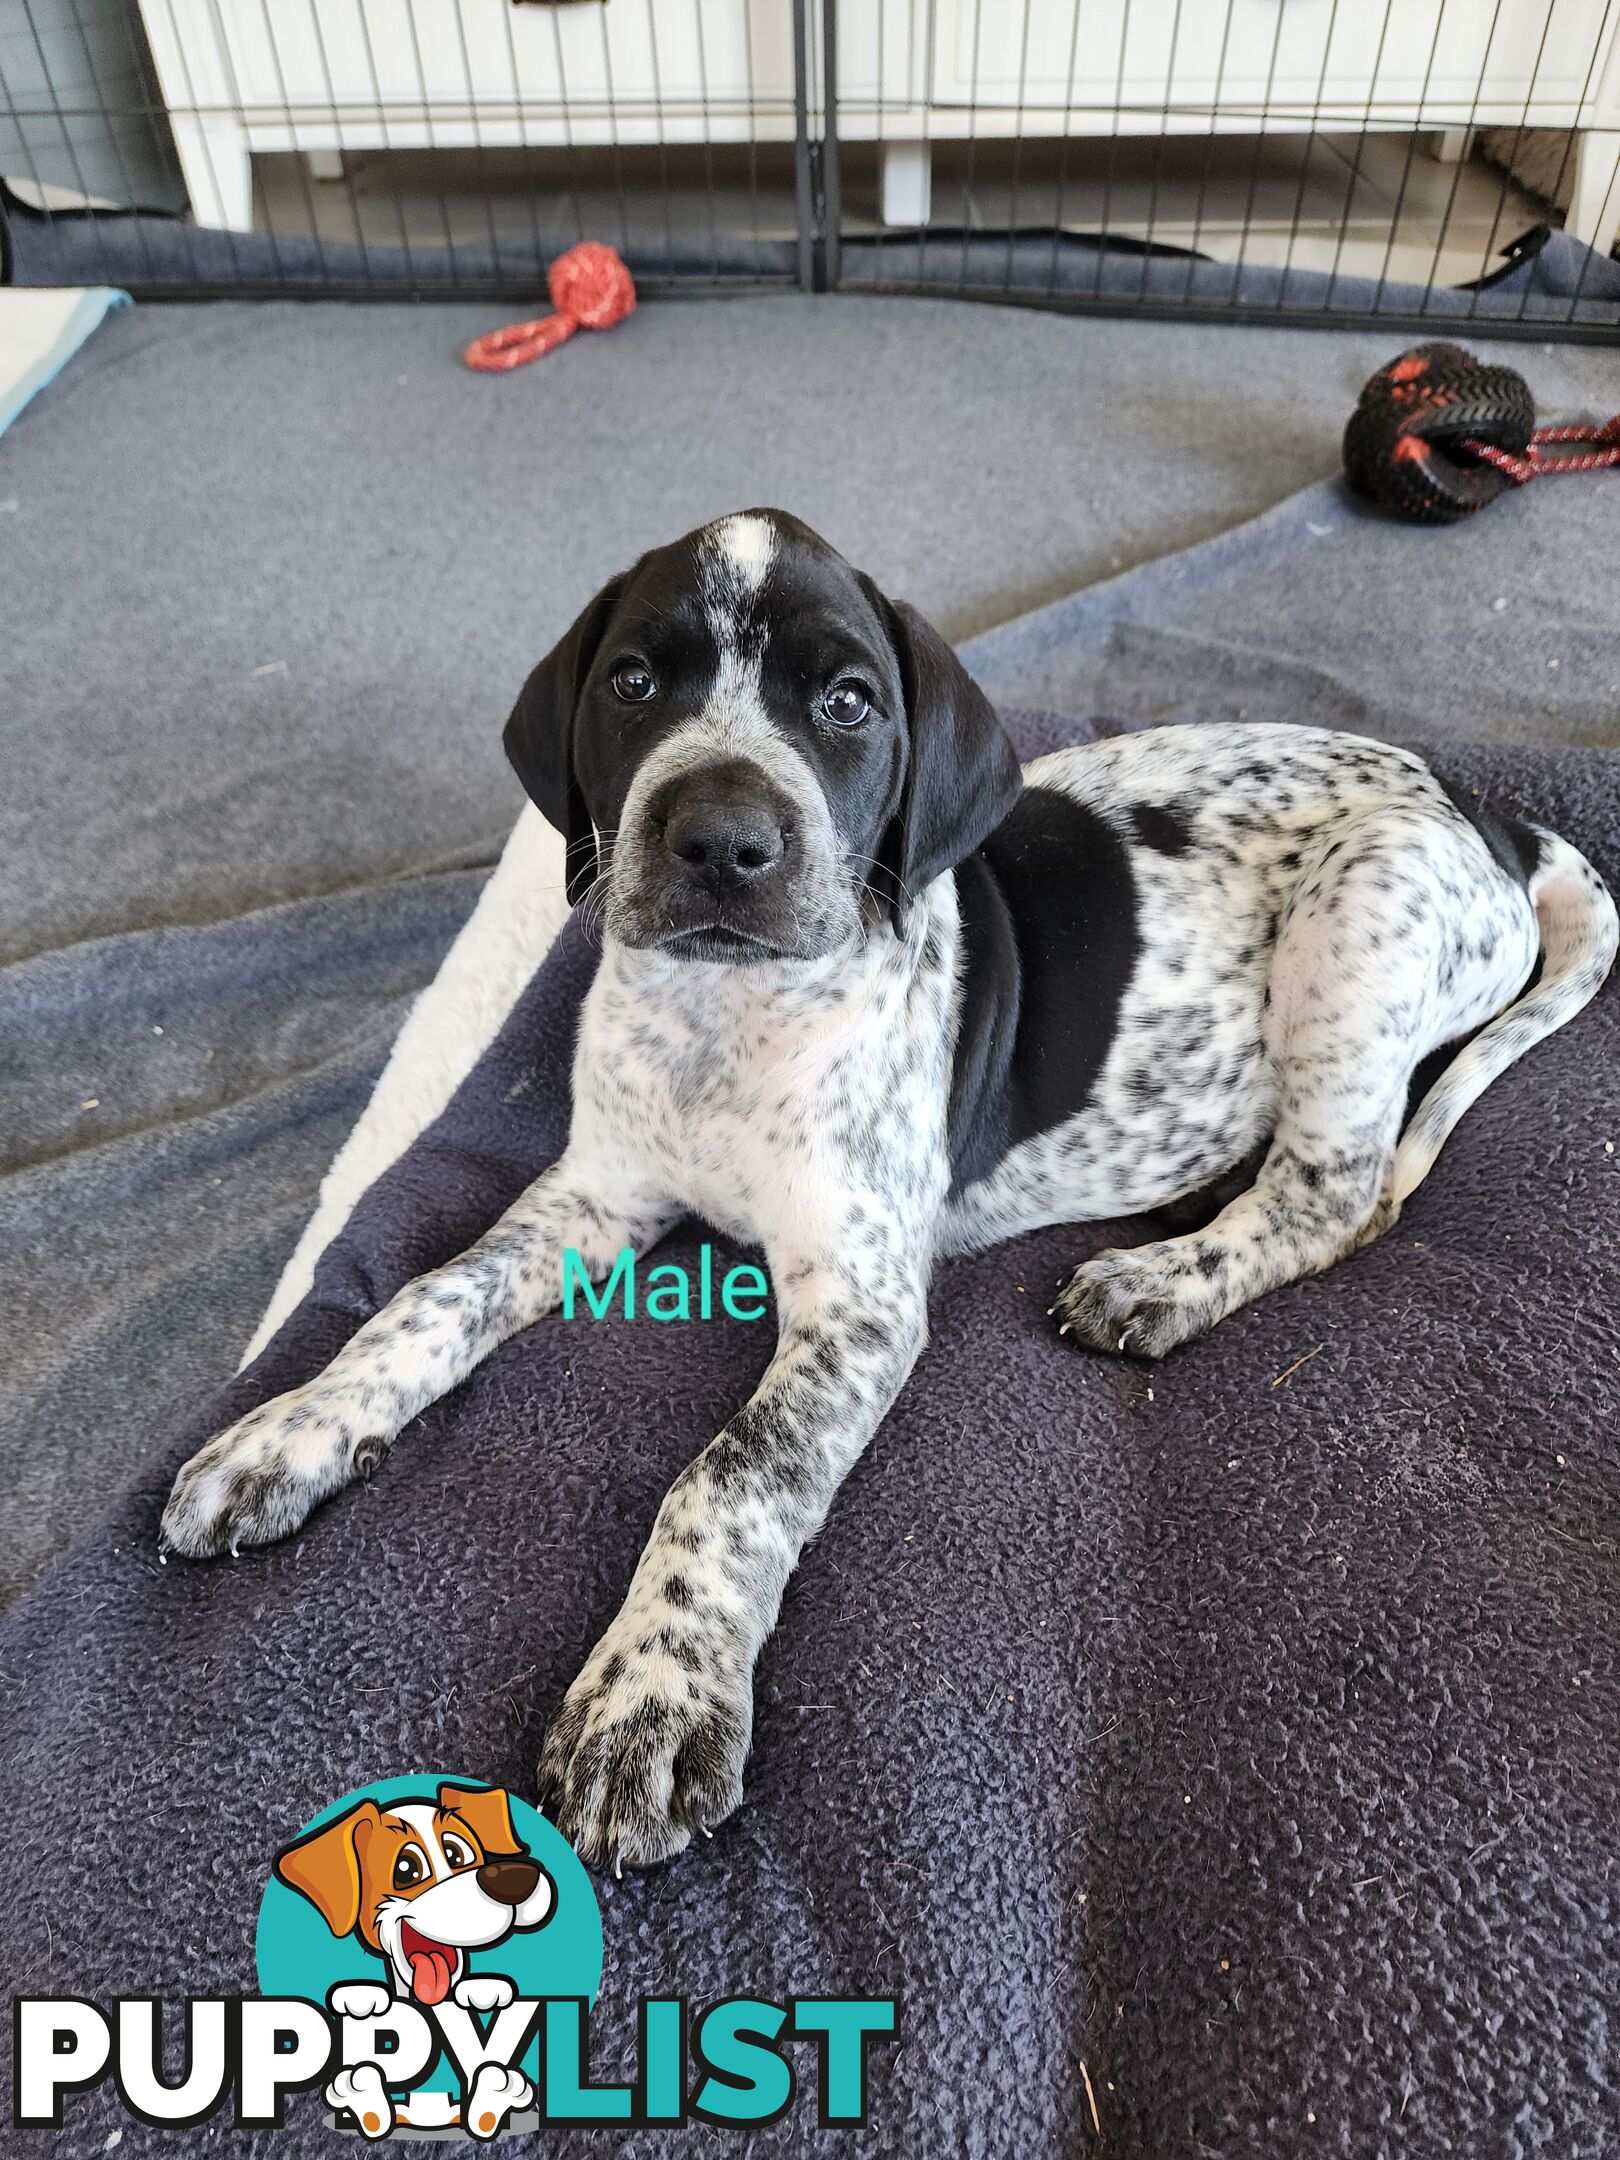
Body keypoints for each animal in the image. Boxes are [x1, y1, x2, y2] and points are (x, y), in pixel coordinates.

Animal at [158, 509, 1615, 1874]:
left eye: (848, 702)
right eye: (632, 683)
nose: (721, 841)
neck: (726, 1016)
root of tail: (1491, 813)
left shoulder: (857, 1305)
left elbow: (733, 1473)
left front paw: (655, 1695)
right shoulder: (595, 1193)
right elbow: (425, 1297)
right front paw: (291, 1428)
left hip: (1358, 925)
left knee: (1340, 1195)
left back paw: (1164, 1276)